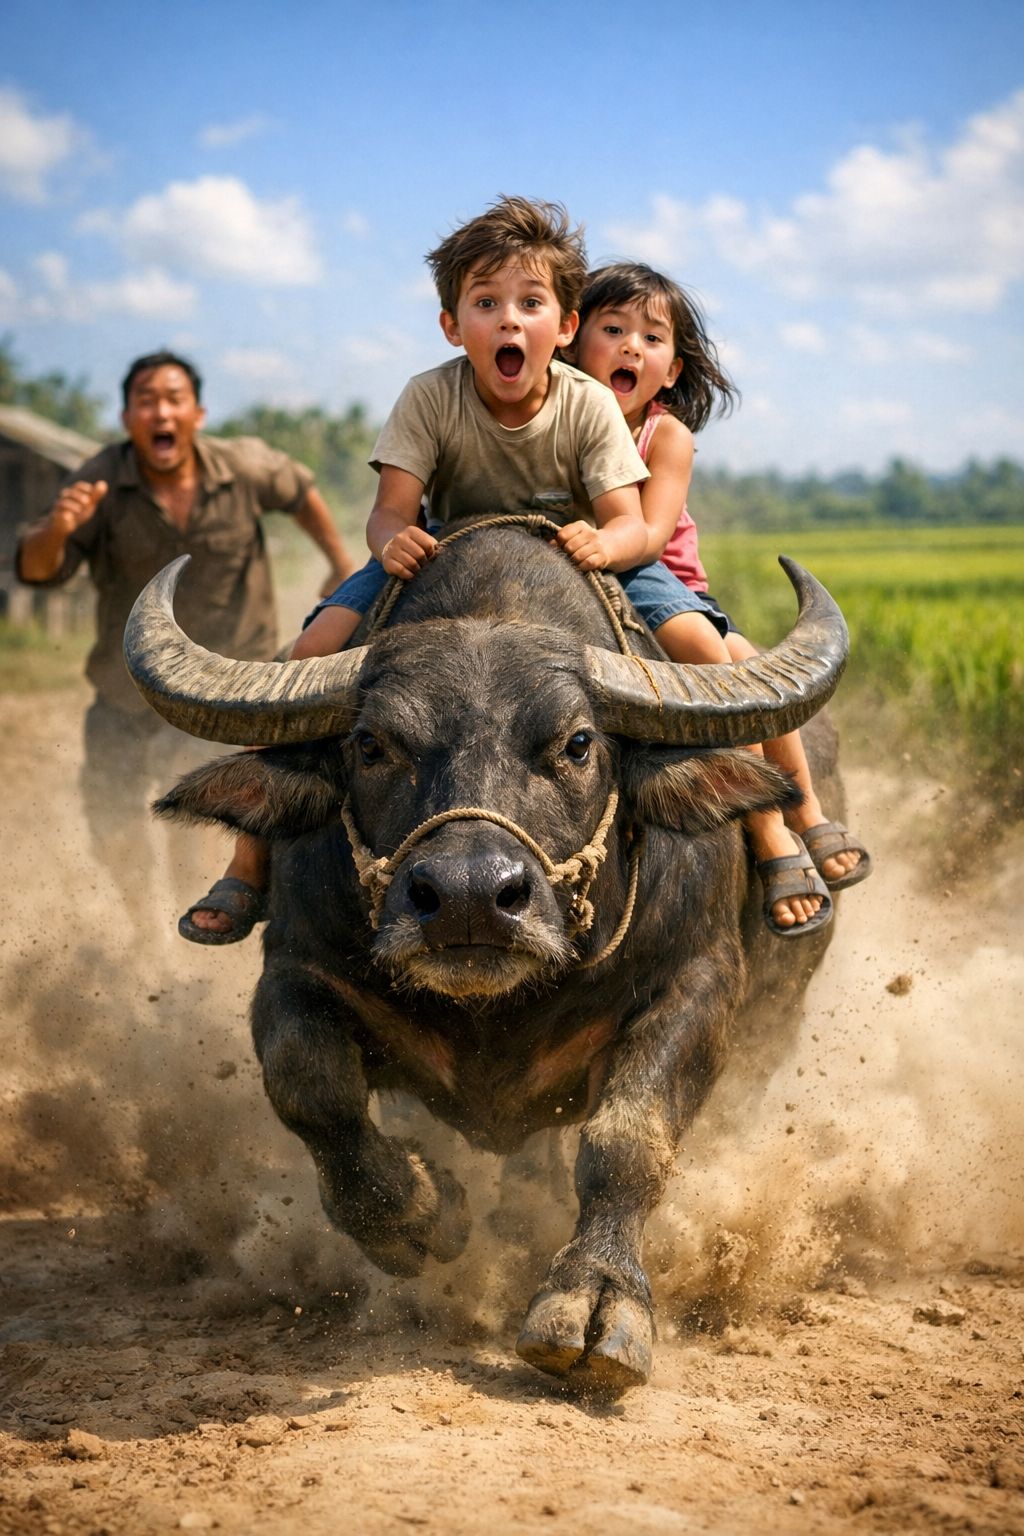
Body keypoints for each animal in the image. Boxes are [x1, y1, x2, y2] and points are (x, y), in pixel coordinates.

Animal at [124, 518, 848, 1393]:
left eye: (578, 743)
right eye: (371, 745)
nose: (469, 897)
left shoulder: (696, 987)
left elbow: (628, 1140)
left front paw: (596, 1299)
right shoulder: (293, 972)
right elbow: (312, 1088)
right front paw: (422, 1214)